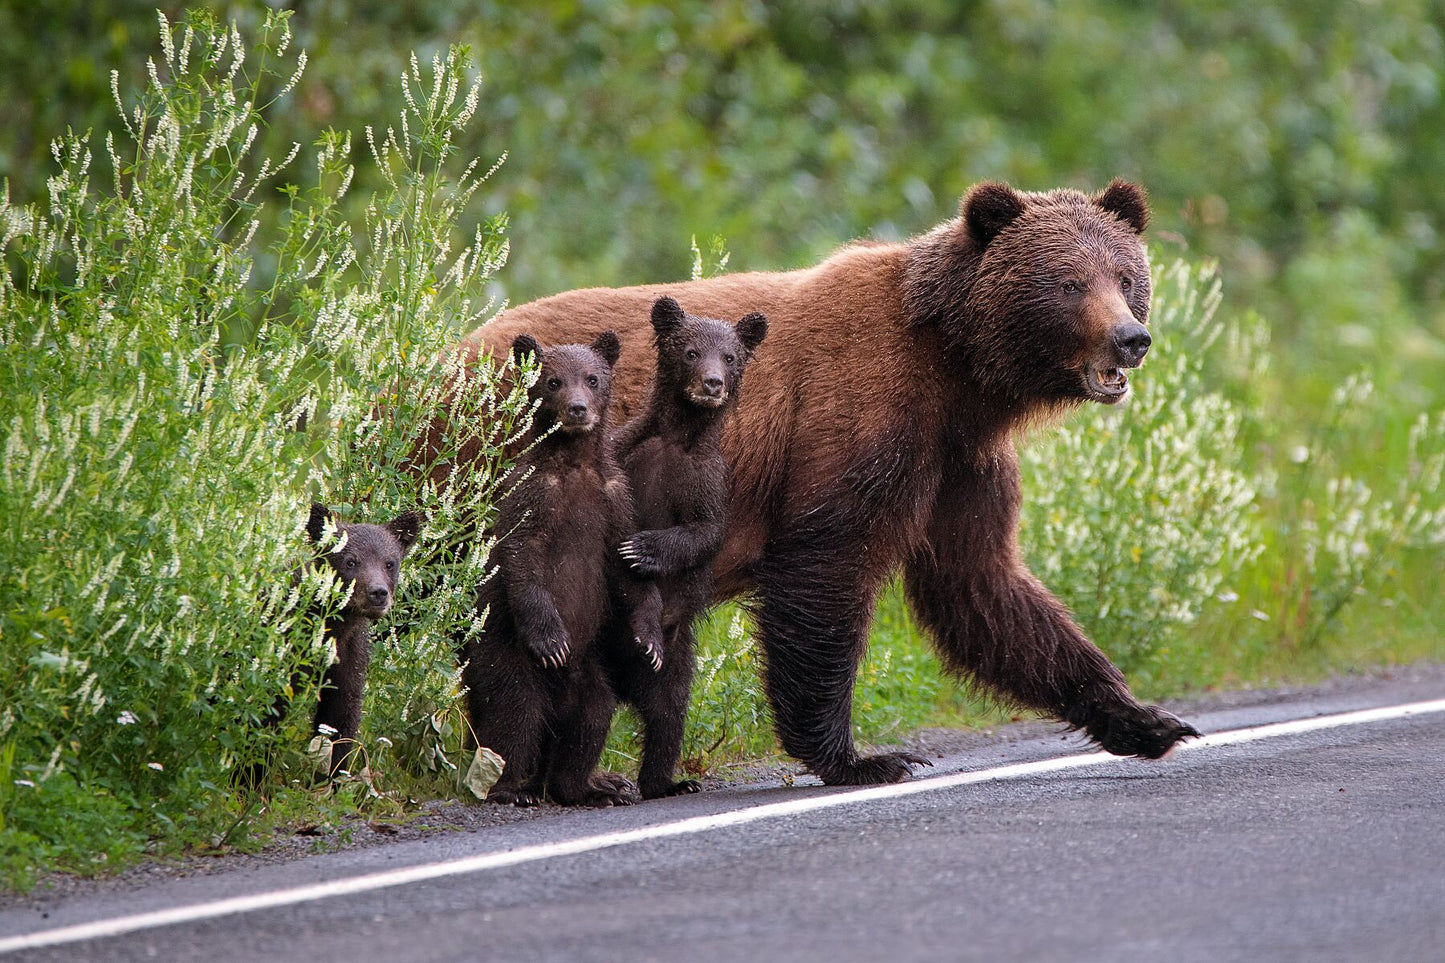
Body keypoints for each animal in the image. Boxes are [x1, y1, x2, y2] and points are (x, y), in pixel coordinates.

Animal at [601, 296, 768, 798]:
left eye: (730, 357)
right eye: (691, 352)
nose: (712, 384)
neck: (679, 436)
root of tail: (627, 684)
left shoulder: (707, 479)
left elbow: (704, 531)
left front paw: (645, 548)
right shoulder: (624, 452)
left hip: (678, 658)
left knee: (668, 713)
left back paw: (668, 782)